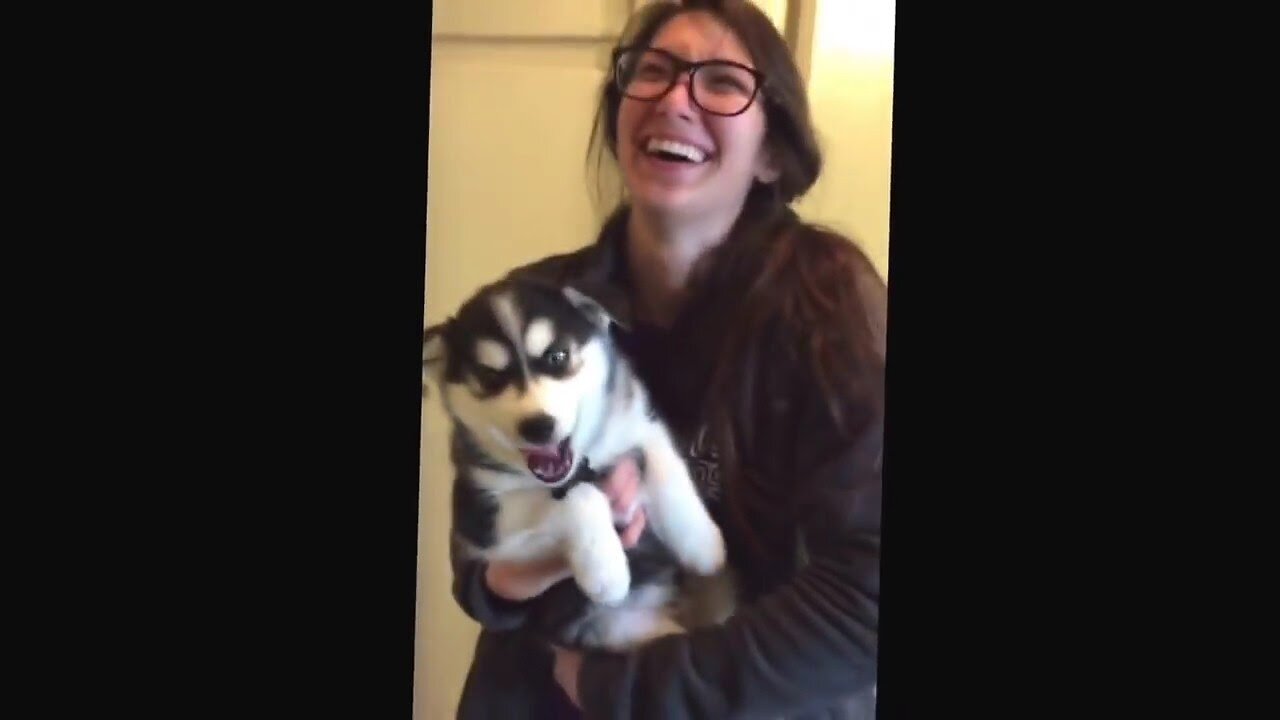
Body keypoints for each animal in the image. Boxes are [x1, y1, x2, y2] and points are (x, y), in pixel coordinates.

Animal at [422, 278, 732, 648]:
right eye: (490, 377)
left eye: (556, 356)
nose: (538, 426)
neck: (586, 461)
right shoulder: (485, 528)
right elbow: (577, 496)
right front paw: (604, 568)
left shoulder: (637, 424)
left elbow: (664, 463)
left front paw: (702, 542)